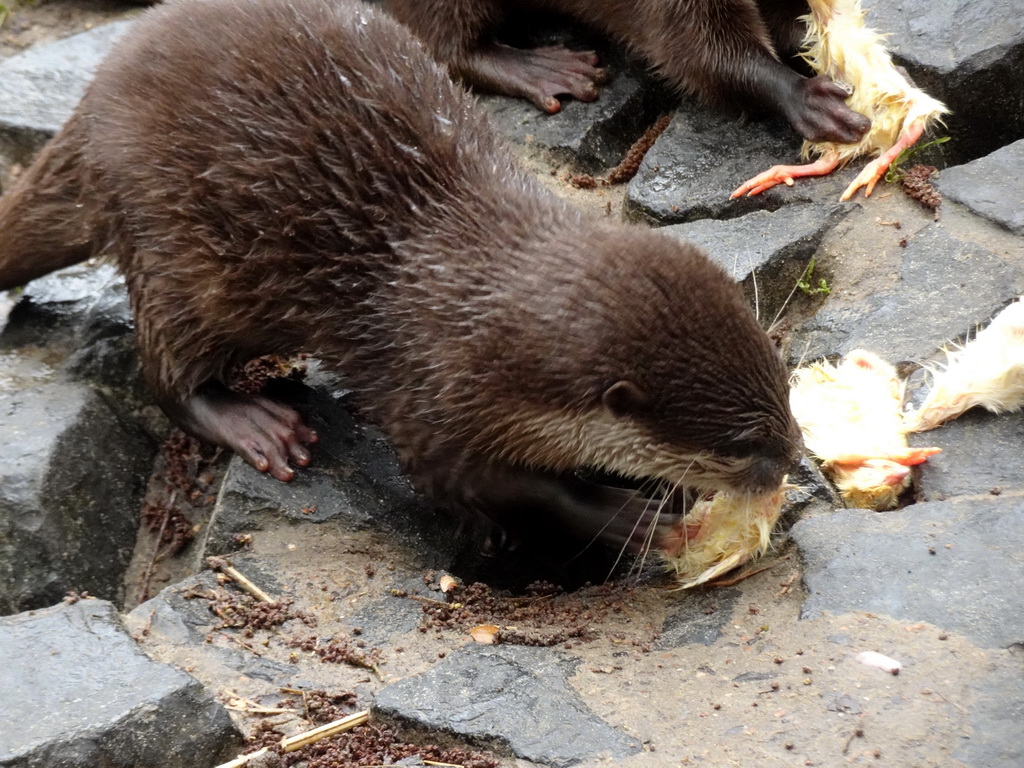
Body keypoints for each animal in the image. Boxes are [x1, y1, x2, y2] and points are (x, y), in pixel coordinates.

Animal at [0, 0, 798, 552]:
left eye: (786, 388)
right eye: (738, 446)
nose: (792, 458)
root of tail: (90, 109)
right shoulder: (428, 396)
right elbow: (487, 487)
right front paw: (628, 518)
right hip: (174, 246)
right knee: (168, 368)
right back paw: (255, 422)